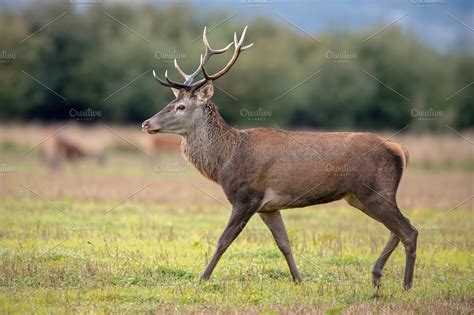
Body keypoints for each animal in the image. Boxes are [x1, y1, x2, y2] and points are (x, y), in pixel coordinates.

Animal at [143, 27, 416, 292]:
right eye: (171, 101)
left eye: (181, 107)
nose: (147, 123)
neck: (226, 160)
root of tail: (399, 149)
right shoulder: (269, 206)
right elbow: (284, 243)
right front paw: (298, 280)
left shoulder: (247, 197)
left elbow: (223, 240)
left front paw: (202, 279)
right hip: (360, 196)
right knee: (398, 229)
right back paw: (377, 276)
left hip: (373, 191)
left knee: (409, 230)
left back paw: (406, 285)